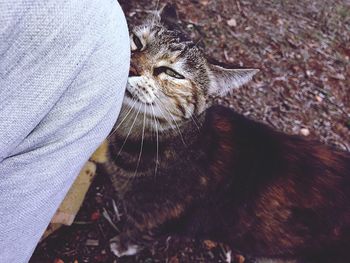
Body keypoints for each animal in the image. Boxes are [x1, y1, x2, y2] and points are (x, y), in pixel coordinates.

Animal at [104, 4, 350, 263]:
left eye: (173, 74)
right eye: (137, 41)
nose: (130, 66)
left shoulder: (158, 217)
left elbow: (140, 232)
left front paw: (122, 244)